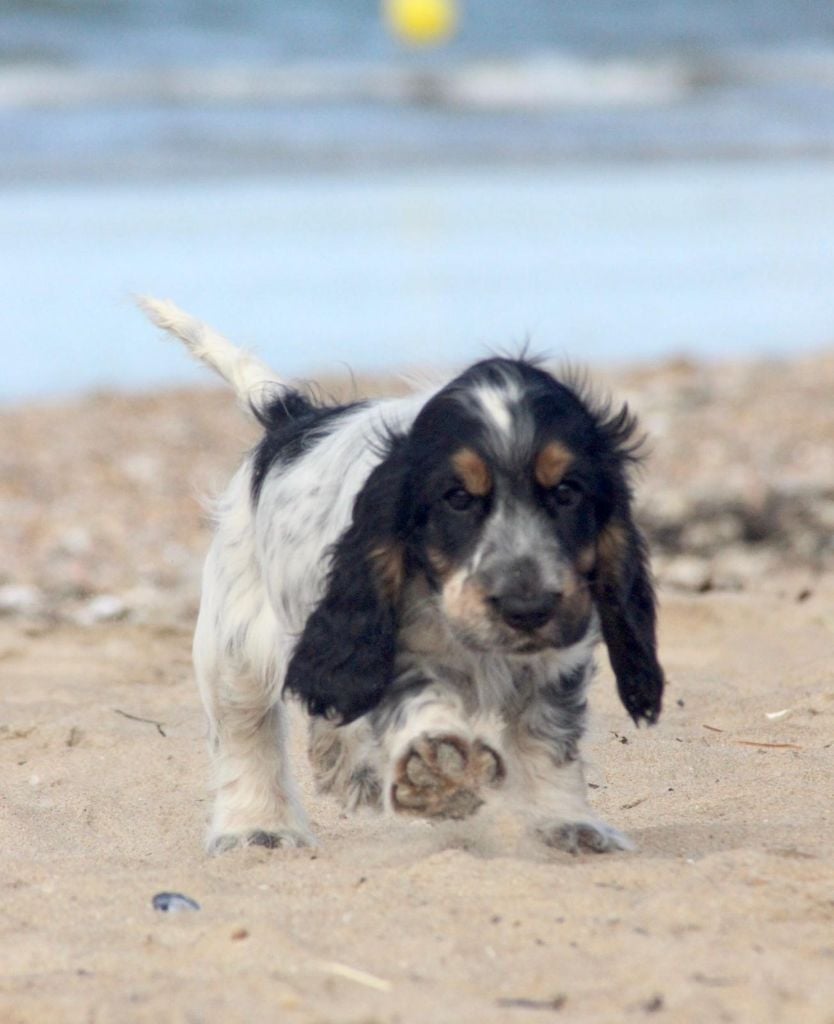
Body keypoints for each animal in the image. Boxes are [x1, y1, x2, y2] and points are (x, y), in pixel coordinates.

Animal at [138, 299, 668, 856]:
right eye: (457, 498)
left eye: (567, 493)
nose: (527, 609)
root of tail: (292, 419)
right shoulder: (384, 638)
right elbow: (415, 698)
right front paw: (435, 766)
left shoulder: (557, 656)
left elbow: (550, 735)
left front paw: (566, 824)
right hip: (236, 639)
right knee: (245, 726)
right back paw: (257, 827)